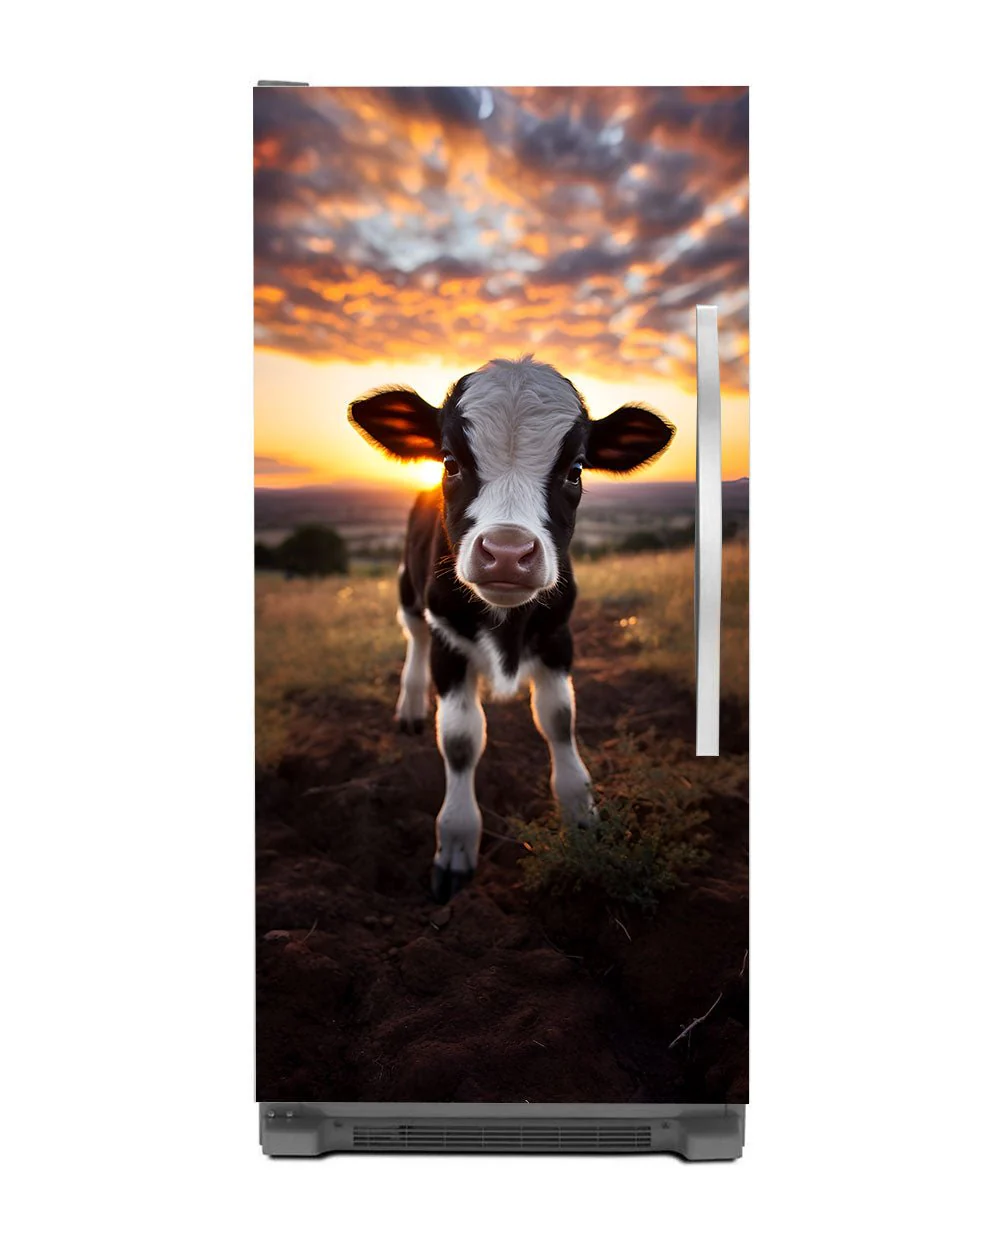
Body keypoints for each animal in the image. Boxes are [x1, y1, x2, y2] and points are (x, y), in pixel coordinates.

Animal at [348, 357, 675, 901]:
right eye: (450, 461)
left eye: (575, 470)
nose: (505, 553)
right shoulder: (448, 641)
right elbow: (460, 739)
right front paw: (456, 843)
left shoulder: (559, 635)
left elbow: (559, 718)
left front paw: (581, 814)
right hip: (408, 591)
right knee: (413, 638)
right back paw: (411, 707)